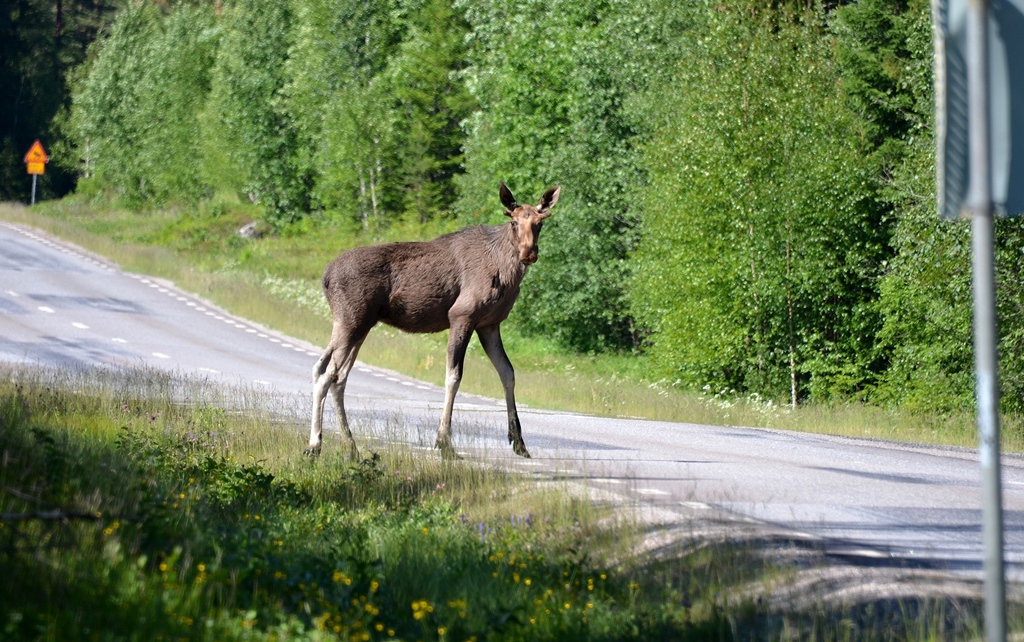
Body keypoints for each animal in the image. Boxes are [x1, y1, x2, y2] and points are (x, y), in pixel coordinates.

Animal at [305, 181, 561, 458]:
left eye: (539, 223)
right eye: (513, 222)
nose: (528, 253)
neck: (507, 273)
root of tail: (325, 277)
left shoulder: (489, 324)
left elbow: (507, 372)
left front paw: (519, 442)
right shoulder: (462, 315)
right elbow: (454, 376)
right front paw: (444, 443)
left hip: (357, 326)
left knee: (331, 374)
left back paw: (350, 445)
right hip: (351, 321)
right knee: (327, 375)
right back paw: (315, 444)